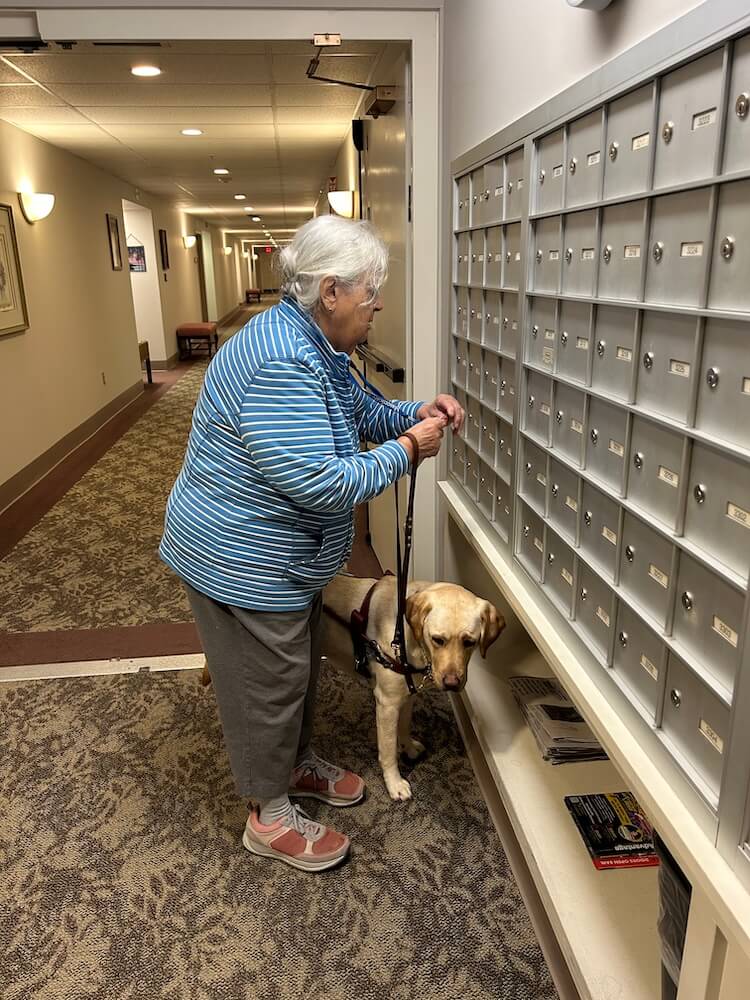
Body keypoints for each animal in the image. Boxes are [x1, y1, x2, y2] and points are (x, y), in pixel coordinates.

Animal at [324, 576, 506, 800]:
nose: (452, 683)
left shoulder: (407, 695)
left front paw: (408, 748)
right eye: (438, 640)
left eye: (469, 642)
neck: (404, 637)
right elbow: (388, 751)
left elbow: (404, 726)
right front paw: (394, 783)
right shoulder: (387, 704)